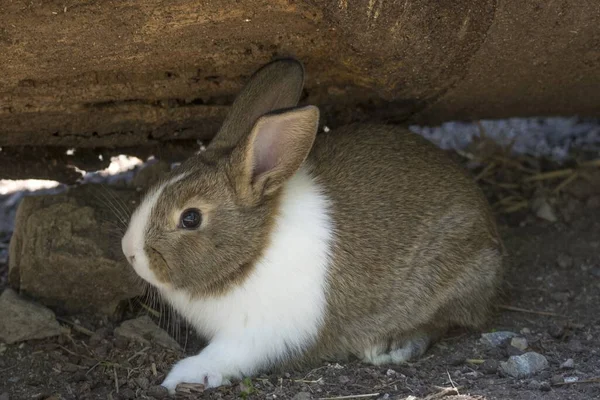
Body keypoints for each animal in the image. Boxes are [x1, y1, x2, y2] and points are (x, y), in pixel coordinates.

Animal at [123, 57, 506, 396]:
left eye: (190, 218)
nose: (129, 252)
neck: (254, 250)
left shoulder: (255, 336)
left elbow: (223, 357)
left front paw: (182, 376)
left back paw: (391, 346)